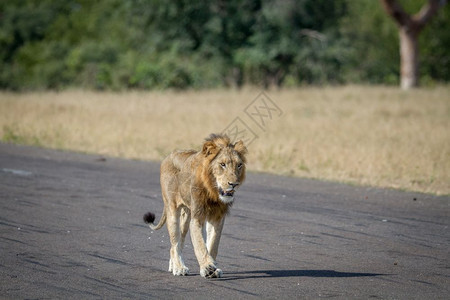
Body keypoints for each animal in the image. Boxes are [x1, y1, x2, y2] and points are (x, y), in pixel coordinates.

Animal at [143, 134, 248, 278]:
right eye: (222, 164)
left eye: (239, 165)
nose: (234, 184)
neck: (213, 191)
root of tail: (168, 156)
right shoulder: (197, 217)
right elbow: (200, 244)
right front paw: (207, 267)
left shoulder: (217, 218)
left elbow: (213, 244)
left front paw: (213, 268)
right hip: (172, 211)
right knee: (175, 243)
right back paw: (179, 268)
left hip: (186, 216)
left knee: (177, 244)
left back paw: (173, 266)